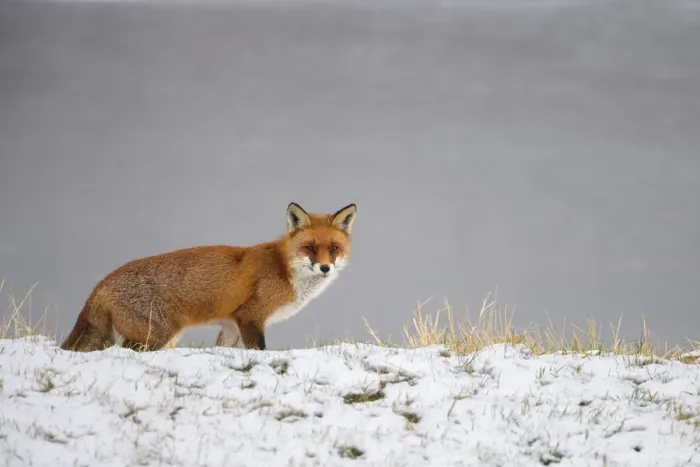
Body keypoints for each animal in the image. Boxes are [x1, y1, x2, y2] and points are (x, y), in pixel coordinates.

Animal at [59, 202, 357, 352]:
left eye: (333, 249)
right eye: (309, 248)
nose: (325, 268)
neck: (284, 270)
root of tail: (101, 283)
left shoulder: (231, 324)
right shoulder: (251, 316)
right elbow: (259, 350)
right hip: (157, 334)